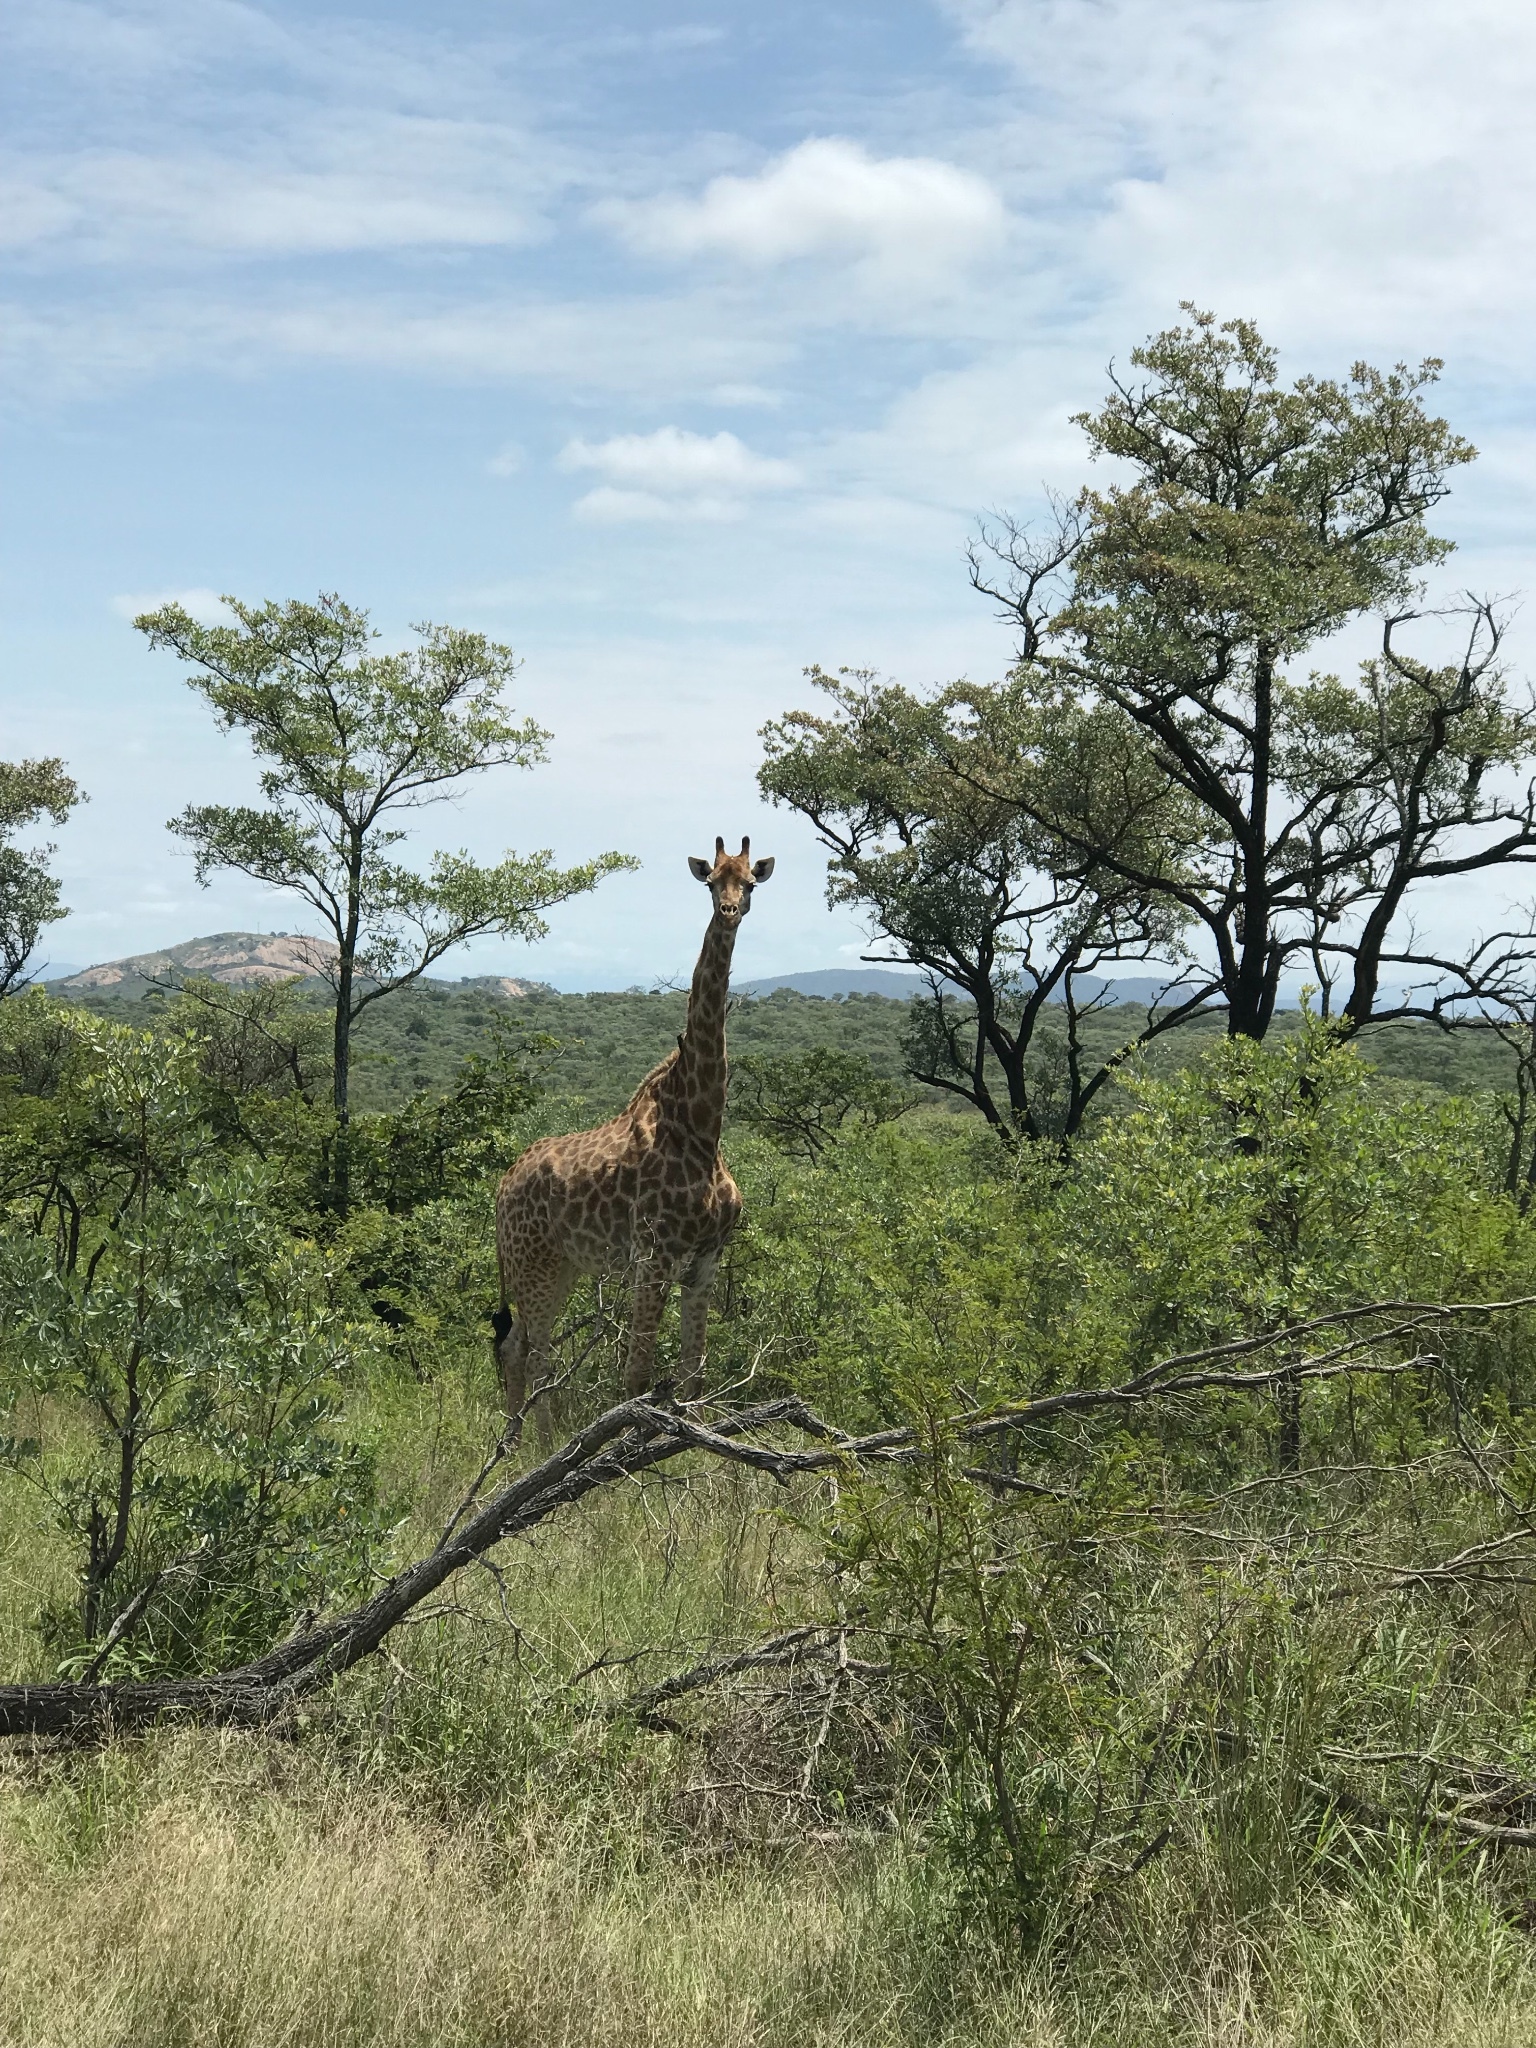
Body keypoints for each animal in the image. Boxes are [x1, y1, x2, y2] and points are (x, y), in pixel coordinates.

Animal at [493, 831, 774, 1425]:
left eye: (750, 883)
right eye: (712, 882)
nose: (729, 911)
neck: (702, 1125)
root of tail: (502, 1187)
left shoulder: (706, 1260)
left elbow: (694, 1374)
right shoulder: (655, 1256)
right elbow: (637, 1376)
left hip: (564, 1265)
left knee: (523, 1349)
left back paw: (522, 1438)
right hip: (534, 1264)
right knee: (532, 1352)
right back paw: (531, 1441)